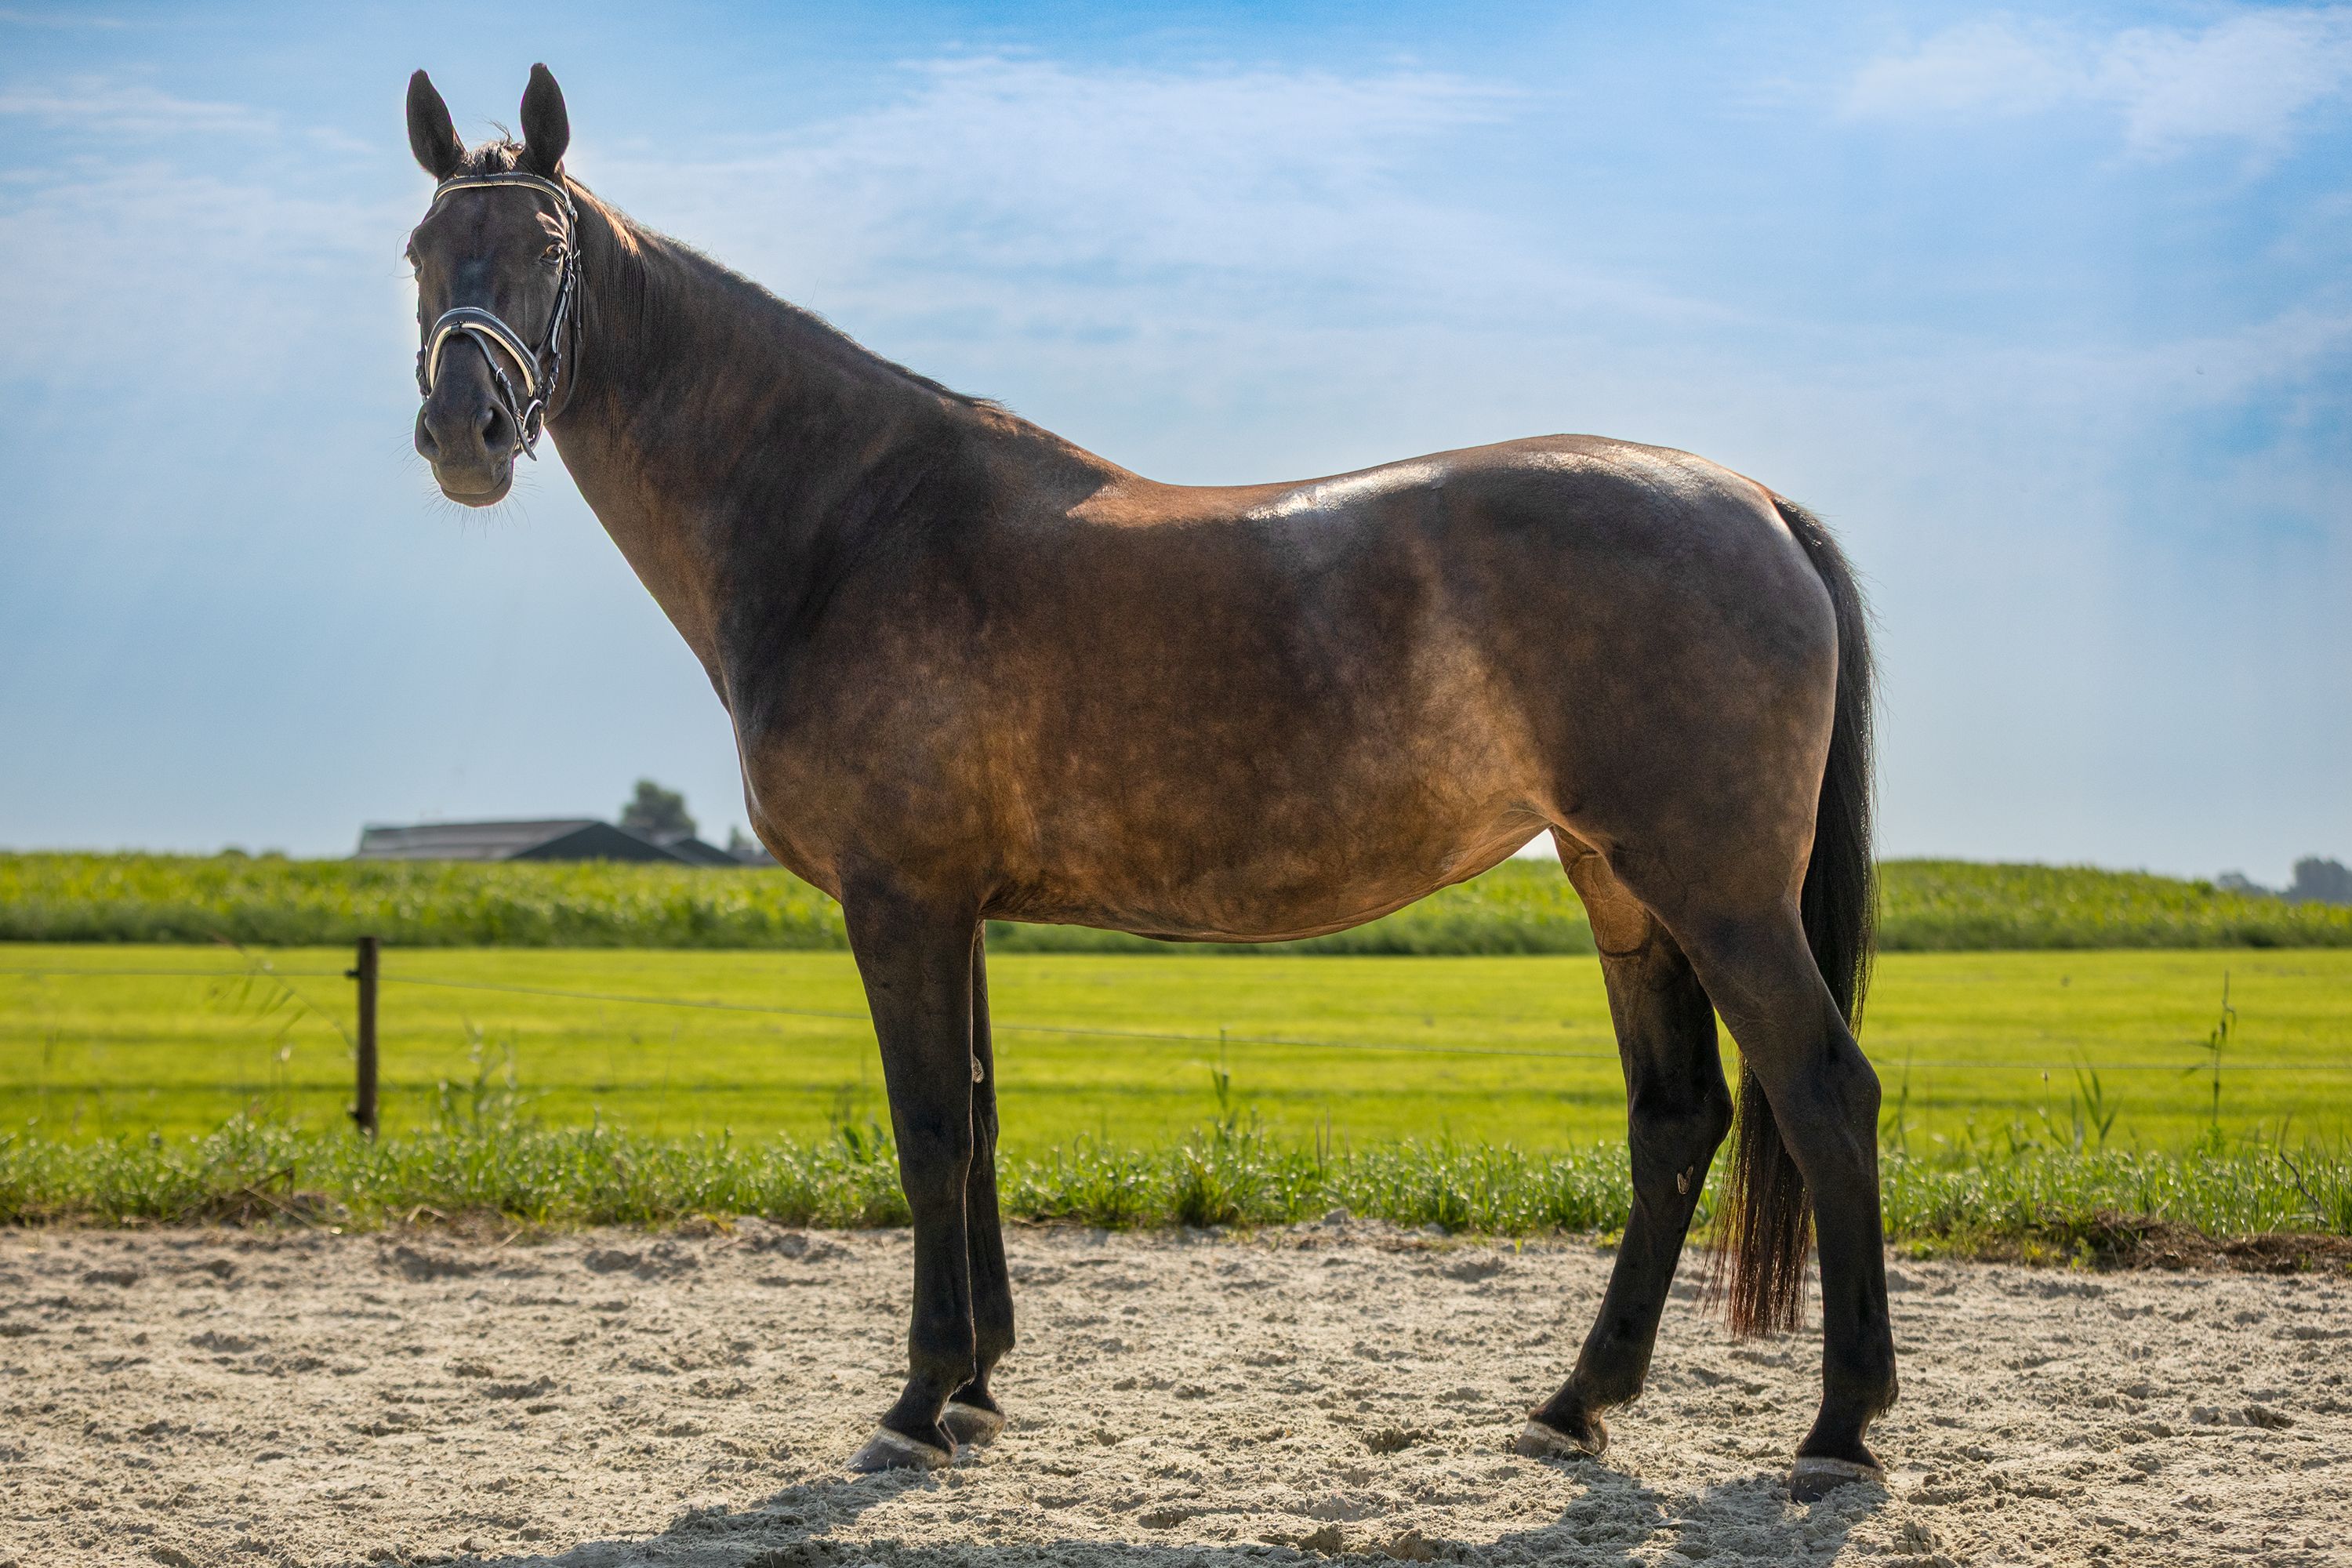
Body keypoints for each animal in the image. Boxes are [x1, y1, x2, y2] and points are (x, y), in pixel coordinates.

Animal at [402, 65, 1896, 1500]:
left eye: (547, 248)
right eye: (420, 249)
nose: (465, 431)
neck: (850, 524)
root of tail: (1759, 507)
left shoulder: (900, 900)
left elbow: (929, 1130)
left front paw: (915, 1406)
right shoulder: (957, 908)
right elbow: (982, 1119)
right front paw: (980, 1391)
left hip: (1720, 895)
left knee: (1825, 1094)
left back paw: (1837, 1431)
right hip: (1621, 890)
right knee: (1677, 1120)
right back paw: (1575, 1407)